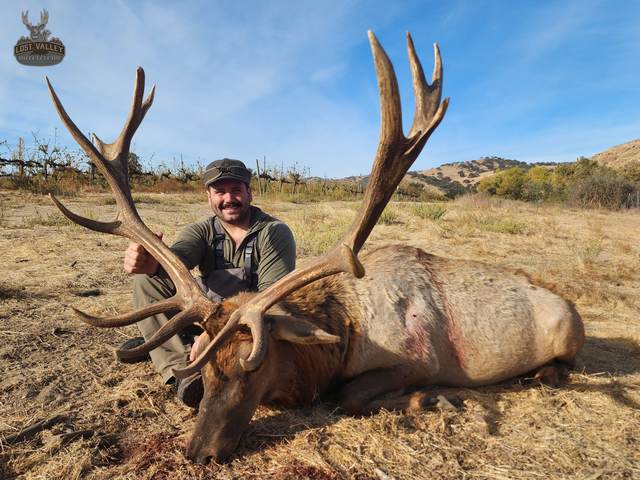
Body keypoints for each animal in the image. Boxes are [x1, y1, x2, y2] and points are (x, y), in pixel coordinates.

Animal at [45, 31, 584, 464]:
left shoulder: (416, 359)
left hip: (566, 333)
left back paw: (540, 375)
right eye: (208, 369)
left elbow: (349, 395)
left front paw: (433, 399)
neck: (340, 331)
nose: (198, 453)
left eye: (251, 367)